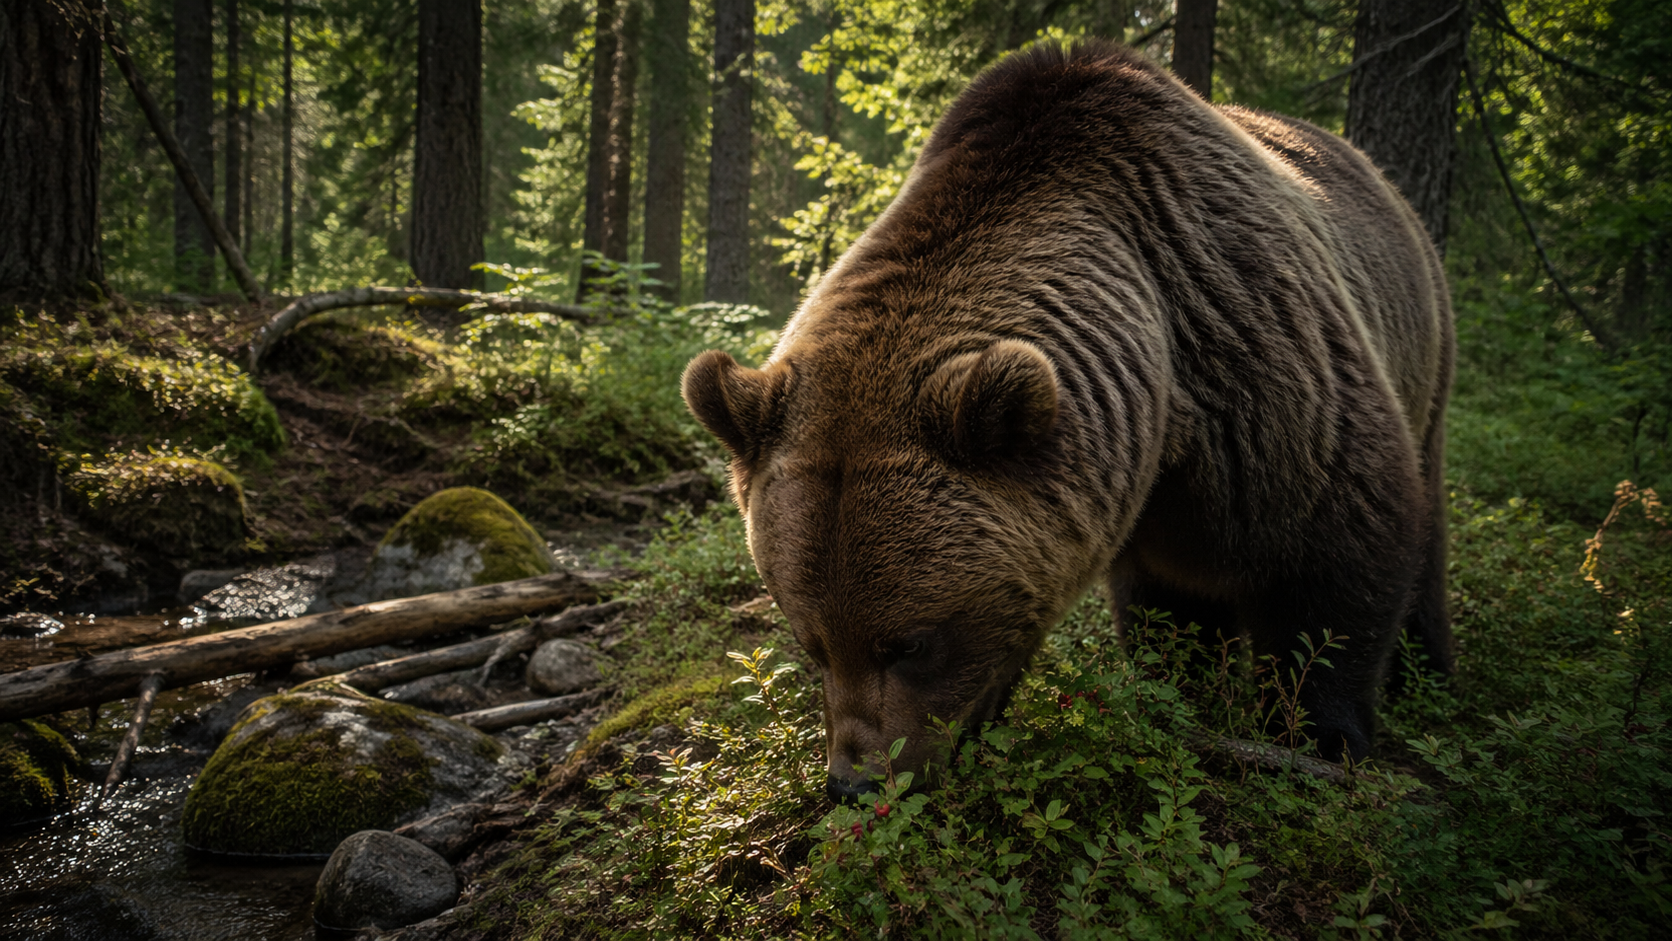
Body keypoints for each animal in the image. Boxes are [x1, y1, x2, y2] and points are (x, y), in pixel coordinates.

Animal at [682, 40, 1455, 799]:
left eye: (911, 641)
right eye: (811, 640)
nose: (856, 782)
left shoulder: (1264, 370)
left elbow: (1336, 560)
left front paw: (1316, 736)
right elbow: (1164, 606)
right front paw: (1174, 696)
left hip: (1425, 348)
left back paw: (1426, 669)